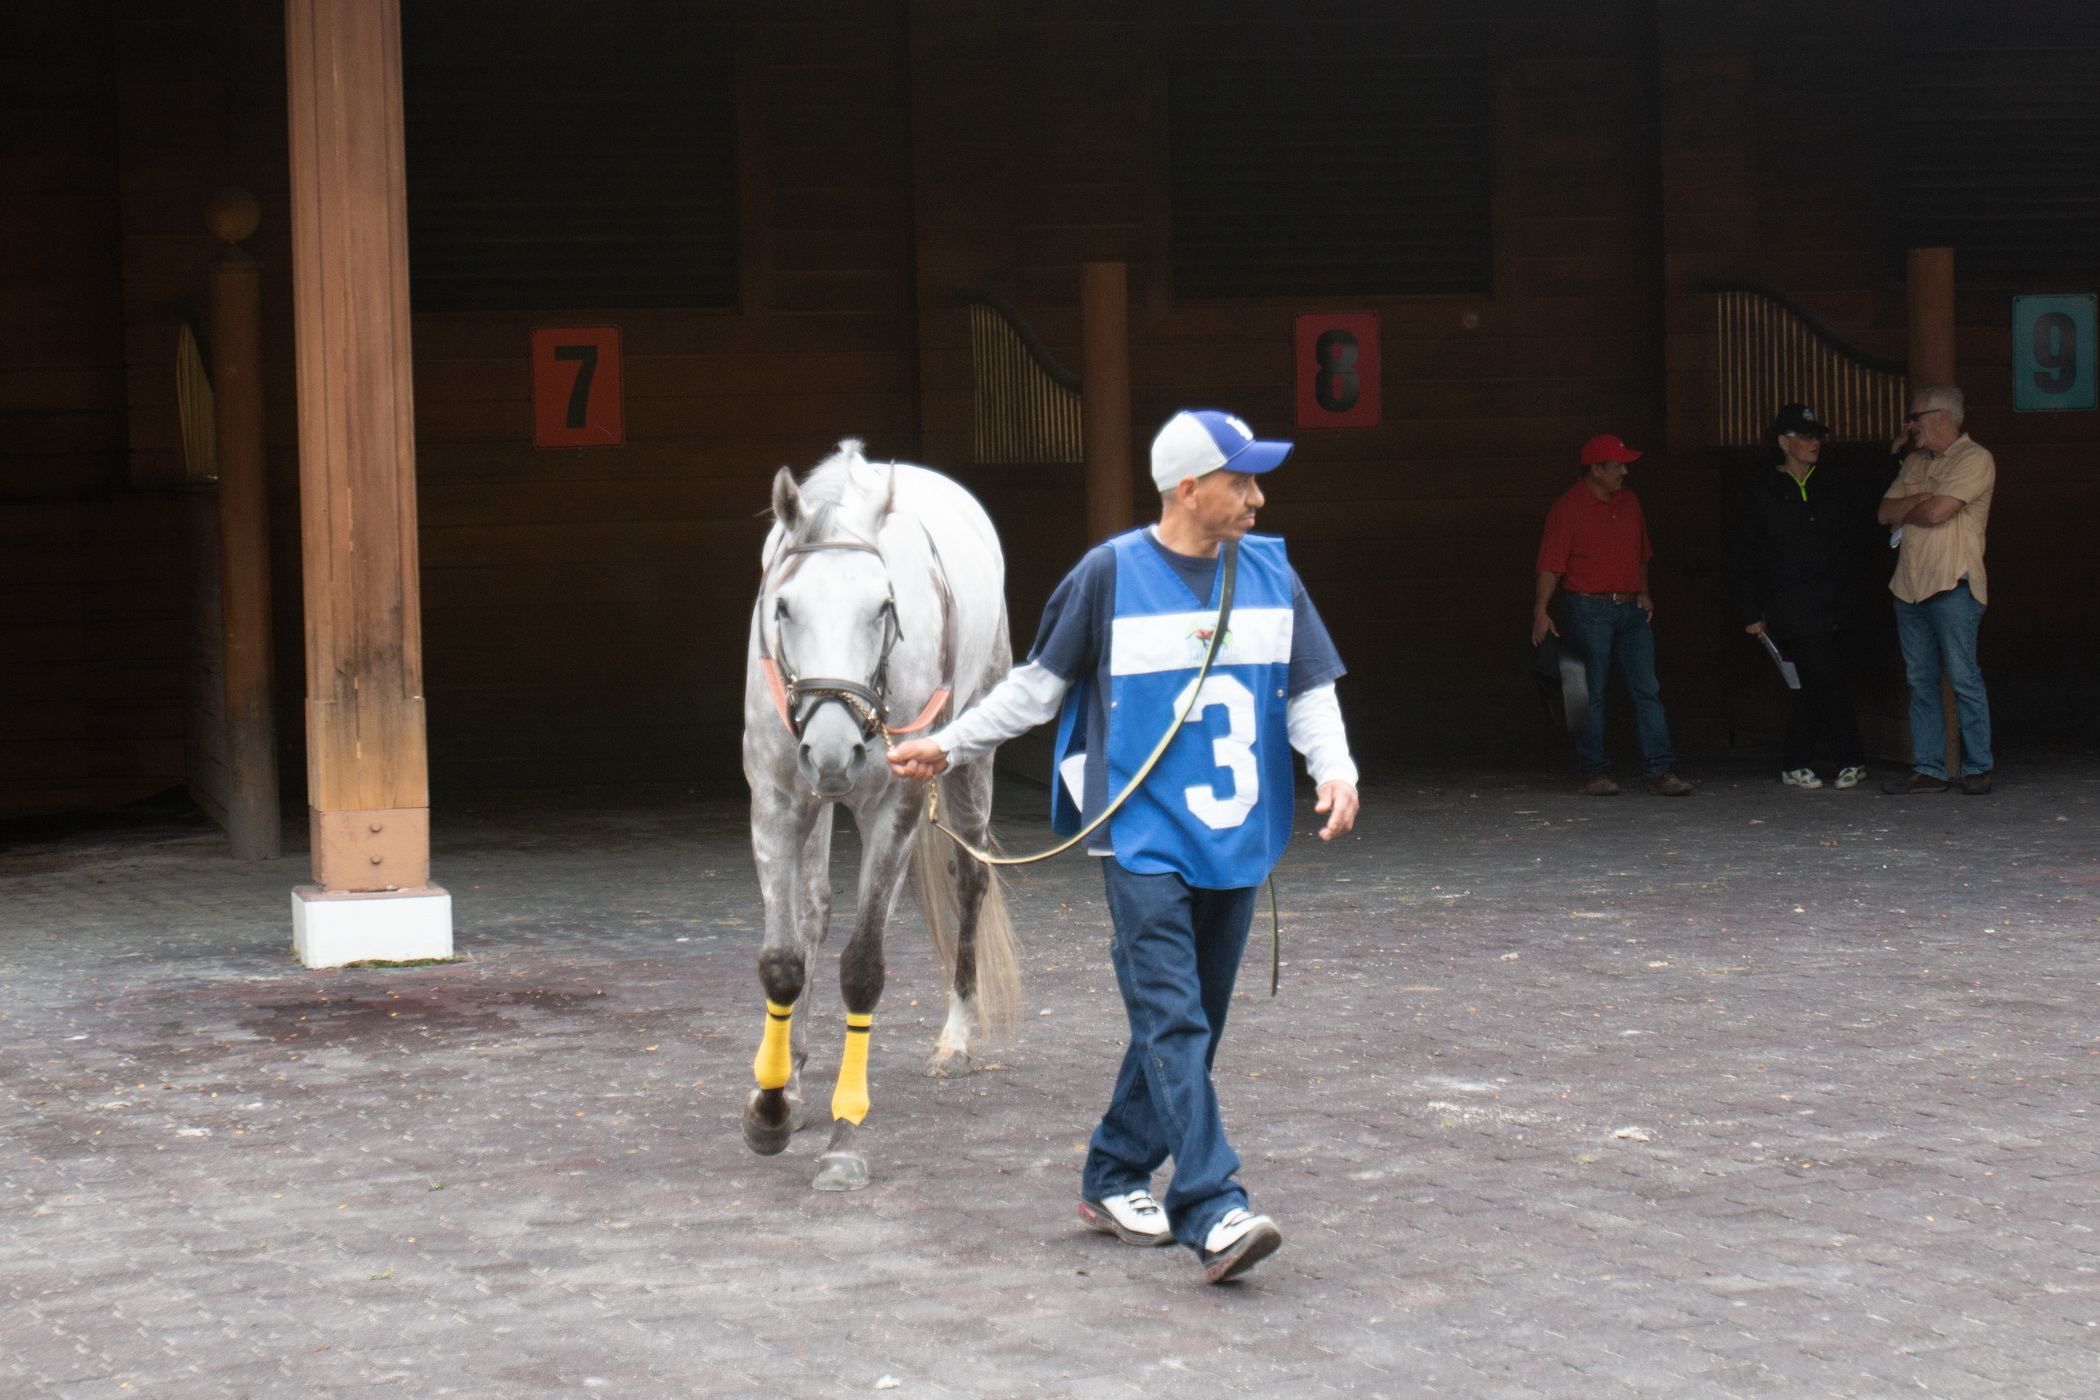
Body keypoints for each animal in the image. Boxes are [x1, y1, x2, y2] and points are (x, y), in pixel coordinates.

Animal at [740, 441, 1023, 1191]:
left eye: (884, 606)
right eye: (784, 606)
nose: (835, 749)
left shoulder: (894, 805)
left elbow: (864, 967)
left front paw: (845, 1139)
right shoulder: (776, 799)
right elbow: (784, 958)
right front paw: (773, 1104)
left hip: (969, 758)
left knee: (969, 880)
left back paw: (955, 1041)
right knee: (814, 909)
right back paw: (795, 1071)